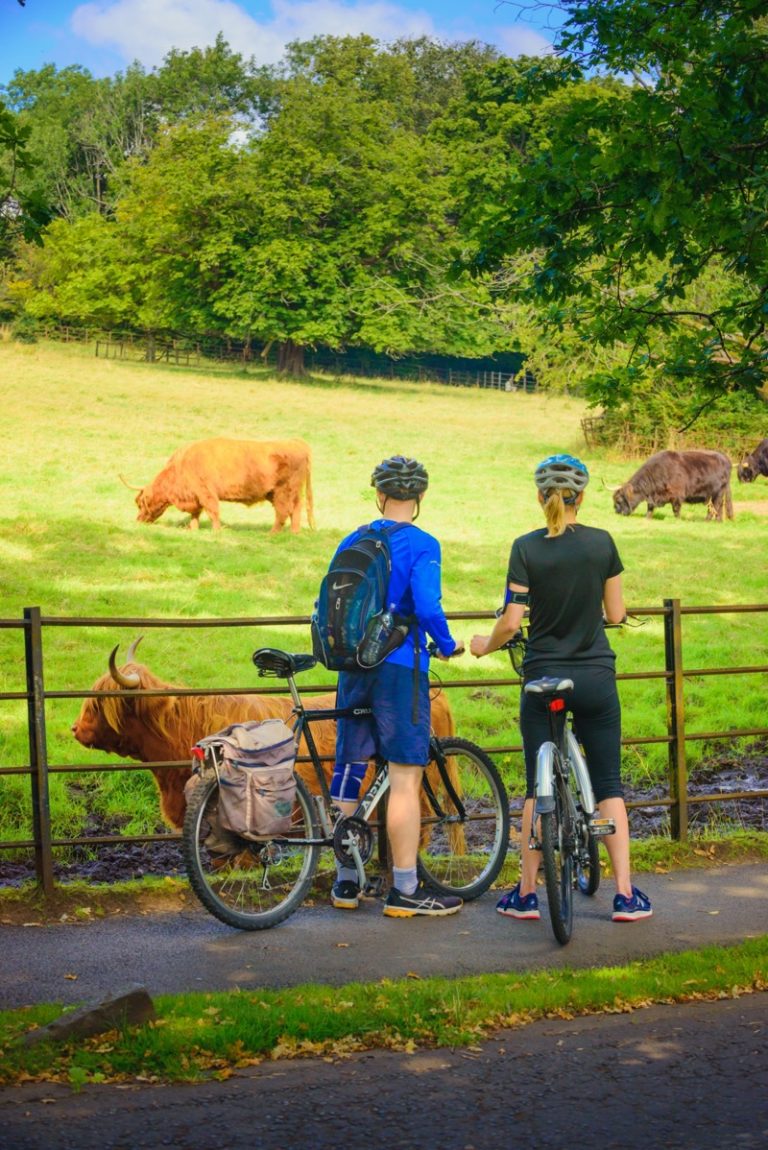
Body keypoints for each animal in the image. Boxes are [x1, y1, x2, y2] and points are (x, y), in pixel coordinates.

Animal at [125, 437, 315, 531]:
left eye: (140, 503)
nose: (138, 520)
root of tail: (297, 443)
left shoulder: (206, 493)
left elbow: (212, 512)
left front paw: (216, 532)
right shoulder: (196, 496)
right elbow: (196, 514)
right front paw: (193, 530)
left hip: (283, 491)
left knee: (283, 512)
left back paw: (272, 534)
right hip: (287, 493)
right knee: (295, 510)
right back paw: (294, 533)